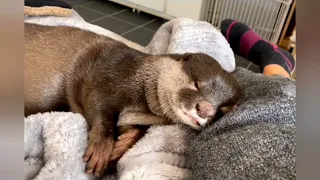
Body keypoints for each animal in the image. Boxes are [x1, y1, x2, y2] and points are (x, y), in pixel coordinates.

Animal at [25, 23, 244, 176]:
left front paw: (120, 147)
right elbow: (100, 110)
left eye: (223, 108)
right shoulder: (107, 75)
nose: (205, 109)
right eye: (196, 83)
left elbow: (137, 131)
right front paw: (101, 150)